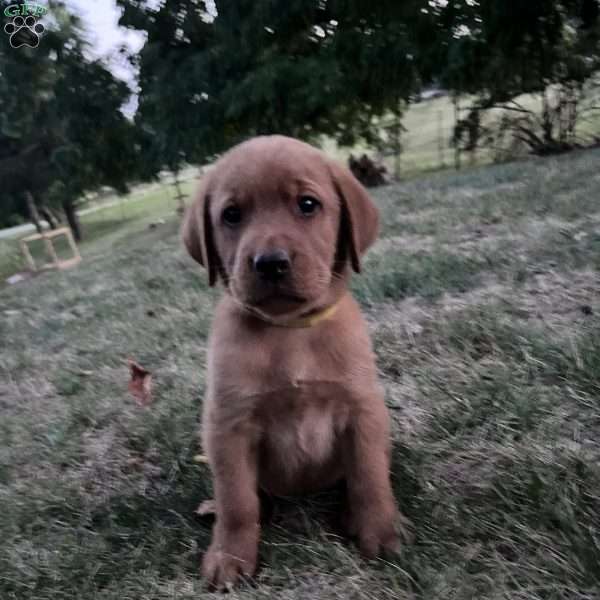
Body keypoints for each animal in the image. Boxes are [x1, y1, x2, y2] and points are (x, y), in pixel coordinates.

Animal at [183, 134, 408, 588]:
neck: (290, 332)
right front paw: (230, 555)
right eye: (231, 215)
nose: (270, 263)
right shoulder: (228, 425)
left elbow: (369, 477)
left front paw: (380, 531)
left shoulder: (363, 411)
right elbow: (237, 500)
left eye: (307, 204)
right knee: (249, 497)